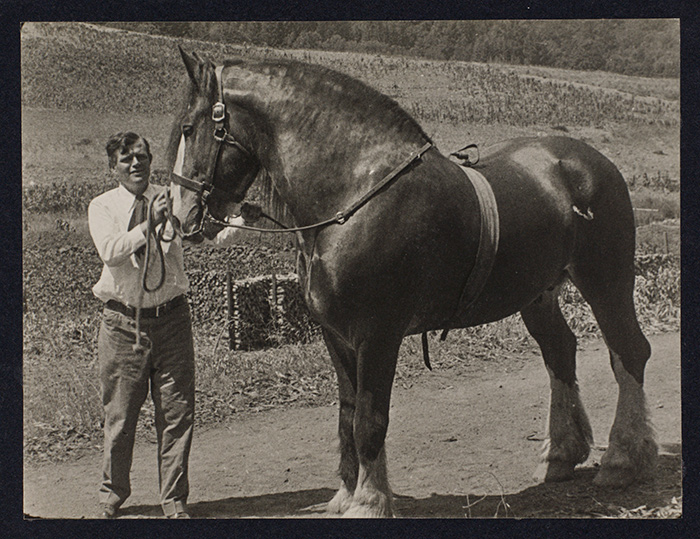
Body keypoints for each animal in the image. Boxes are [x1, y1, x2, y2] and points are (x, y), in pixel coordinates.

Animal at [168, 48, 656, 516]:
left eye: (190, 128)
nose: (180, 216)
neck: (354, 195)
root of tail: (592, 164)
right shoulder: (336, 337)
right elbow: (347, 414)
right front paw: (349, 492)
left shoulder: (378, 335)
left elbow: (369, 420)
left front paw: (369, 501)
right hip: (538, 295)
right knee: (560, 354)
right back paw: (561, 455)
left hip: (606, 280)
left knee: (628, 352)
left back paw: (623, 459)